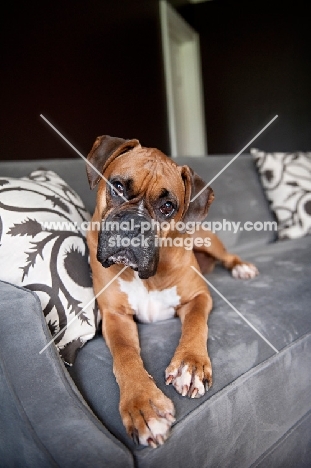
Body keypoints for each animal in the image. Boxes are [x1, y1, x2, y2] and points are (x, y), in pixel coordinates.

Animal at [86, 134, 258, 446]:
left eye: (167, 206)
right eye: (118, 187)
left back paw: (242, 267)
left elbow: (195, 324)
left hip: (206, 239)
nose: (134, 225)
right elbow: (125, 354)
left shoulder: (199, 297)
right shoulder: (115, 316)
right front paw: (142, 404)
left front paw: (190, 366)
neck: (146, 276)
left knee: (227, 256)